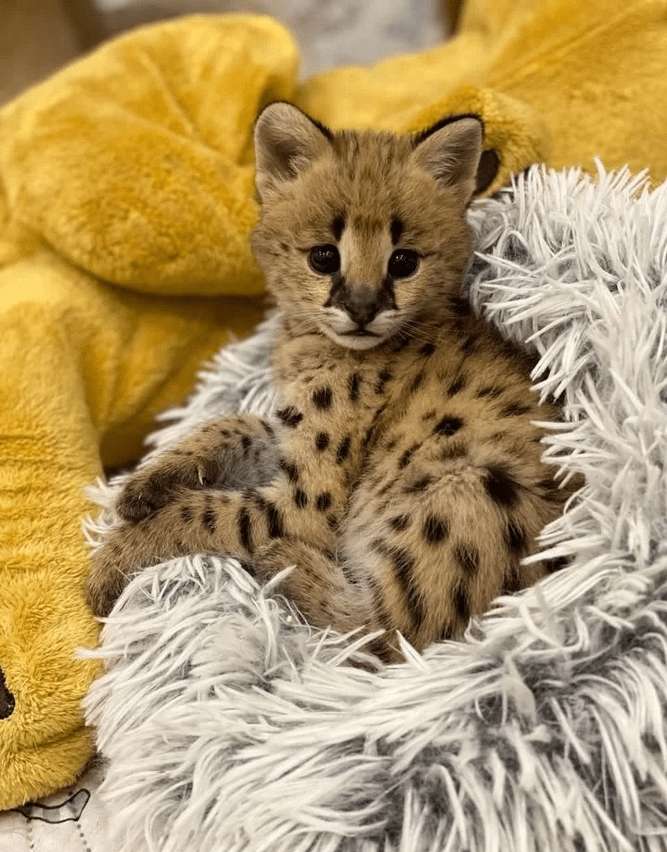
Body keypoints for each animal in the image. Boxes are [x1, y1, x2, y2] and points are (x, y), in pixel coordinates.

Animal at [85, 100, 576, 660]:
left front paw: (112, 562)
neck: (317, 345)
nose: (362, 309)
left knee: (390, 636)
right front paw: (144, 485)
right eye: (323, 256)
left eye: (403, 261)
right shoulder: (288, 434)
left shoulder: (306, 504)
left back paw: (285, 564)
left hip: (469, 487)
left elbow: (200, 513)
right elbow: (232, 424)